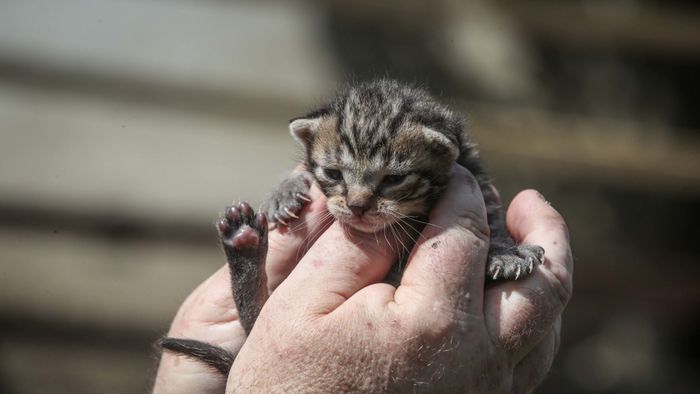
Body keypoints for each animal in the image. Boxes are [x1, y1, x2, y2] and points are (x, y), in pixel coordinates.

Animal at [160, 79, 548, 376]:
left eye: (394, 179)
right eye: (333, 173)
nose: (358, 205)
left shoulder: (476, 175)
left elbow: (492, 215)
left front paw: (503, 251)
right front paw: (284, 190)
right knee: (255, 317)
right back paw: (243, 241)